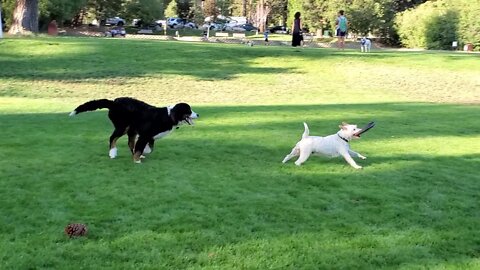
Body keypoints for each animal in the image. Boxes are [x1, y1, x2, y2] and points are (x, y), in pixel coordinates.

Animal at [69, 97, 199, 163]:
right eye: (189, 111)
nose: (198, 114)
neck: (168, 116)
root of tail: (114, 102)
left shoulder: (148, 136)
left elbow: (148, 147)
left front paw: (142, 153)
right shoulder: (145, 135)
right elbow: (141, 146)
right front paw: (137, 160)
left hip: (131, 130)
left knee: (130, 143)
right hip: (123, 126)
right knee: (112, 138)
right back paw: (112, 153)